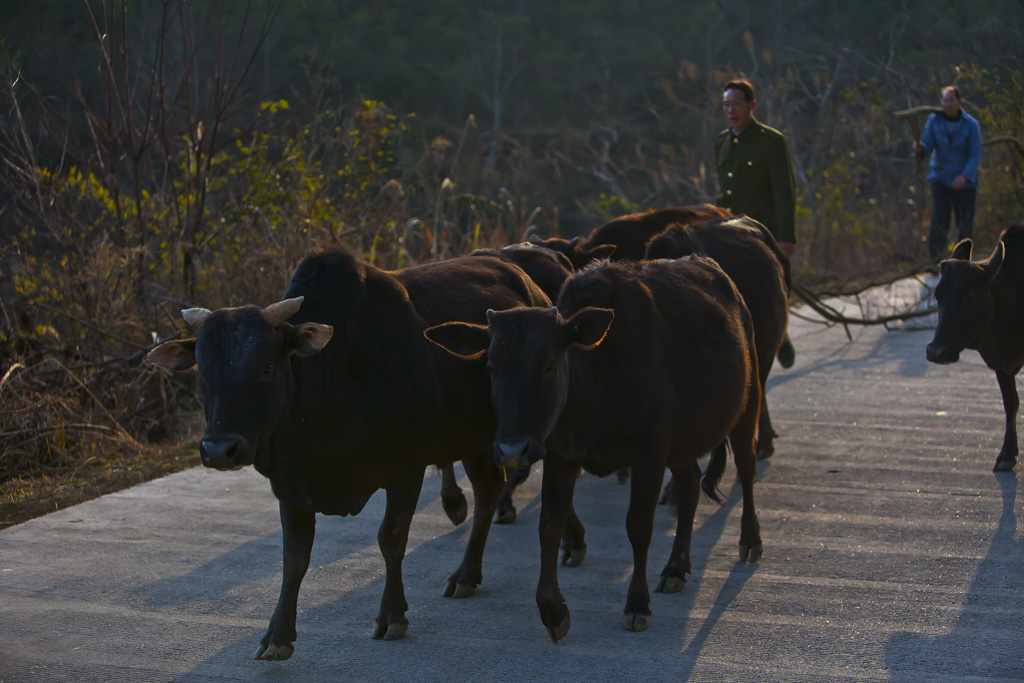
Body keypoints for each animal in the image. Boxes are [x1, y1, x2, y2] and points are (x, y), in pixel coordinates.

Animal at [147, 248, 548, 659]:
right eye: (203, 372)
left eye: (266, 366)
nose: (218, 449)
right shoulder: (289, 484)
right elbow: (294, 559)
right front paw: (277, 634)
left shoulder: (405, 470)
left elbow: (391, 540)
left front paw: (392, 614)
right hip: (474, 440)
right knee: (487, 492)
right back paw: (468, 571)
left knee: (491, 494)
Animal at [421, 259, 761, 643]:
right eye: (491, 367)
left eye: (549, 364)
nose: (511, 450)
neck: (597, 382)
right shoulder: (561, 455)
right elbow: (549, 526)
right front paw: (553, 610)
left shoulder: (649, 454)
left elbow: (638, 526)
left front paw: (637, 603)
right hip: (683, 444)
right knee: (689, 486)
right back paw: (676, 568)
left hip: (748, 404)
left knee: (746, 466)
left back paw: (750, 540)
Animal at [925, 227, 1024, 473]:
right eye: (938, 295)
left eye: (969, 297)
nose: (935, 351)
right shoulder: (1002, 365)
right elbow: (1011, 402)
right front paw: (1007, 453)